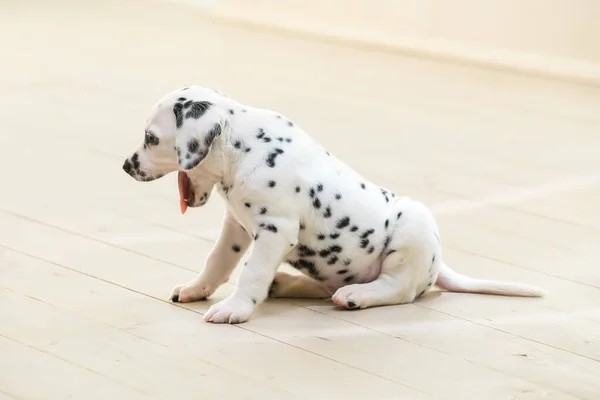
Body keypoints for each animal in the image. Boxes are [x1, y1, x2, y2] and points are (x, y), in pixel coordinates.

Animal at [124, 86, 548, 324]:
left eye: (151, 138)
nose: (126, 166)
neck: (244, 149)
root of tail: (438, 265)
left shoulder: (275, 232)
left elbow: (251, 274)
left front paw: (236, 308)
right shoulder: (236, 227)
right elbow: (217, 263)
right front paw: (196, 289)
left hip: (411, 230)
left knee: (399, 289)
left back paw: (357, 296)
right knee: (326, 286)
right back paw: (288, 282)